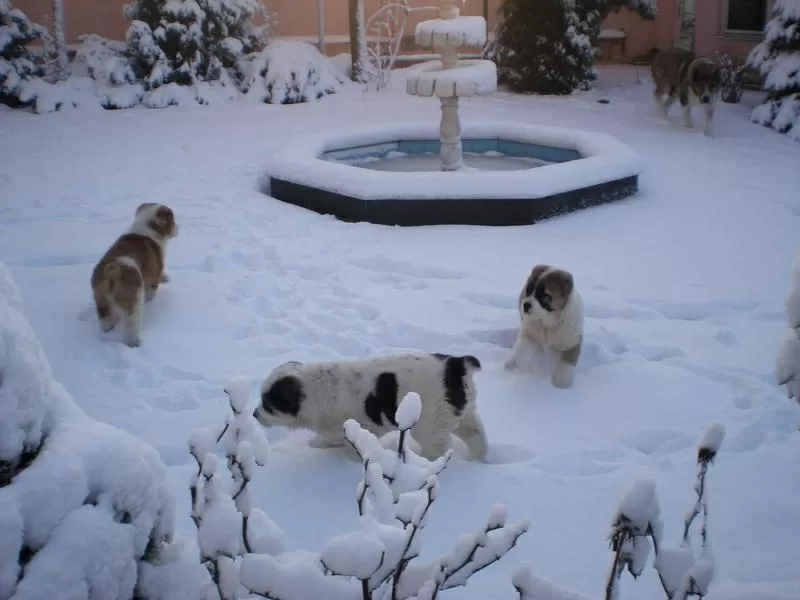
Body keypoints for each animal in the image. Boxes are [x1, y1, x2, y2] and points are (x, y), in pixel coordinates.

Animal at [90, 204, 178, 350]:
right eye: (172, 221)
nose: (177, 230)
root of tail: (113, 269)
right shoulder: (154, 272)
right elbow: (153, 288)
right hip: (133, 301)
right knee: (132, 324)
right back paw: (134, 343)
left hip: (101, 300)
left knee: (105, 319)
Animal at [253, 354, 488, 462]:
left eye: (267, 404)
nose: (255, 414)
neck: (314, 390)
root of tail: (457, 365)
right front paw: (319, 443)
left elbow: (351, 448)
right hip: (462, 414)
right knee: (476, 436)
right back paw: (477, 461)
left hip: (430, 424)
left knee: (439, 448)